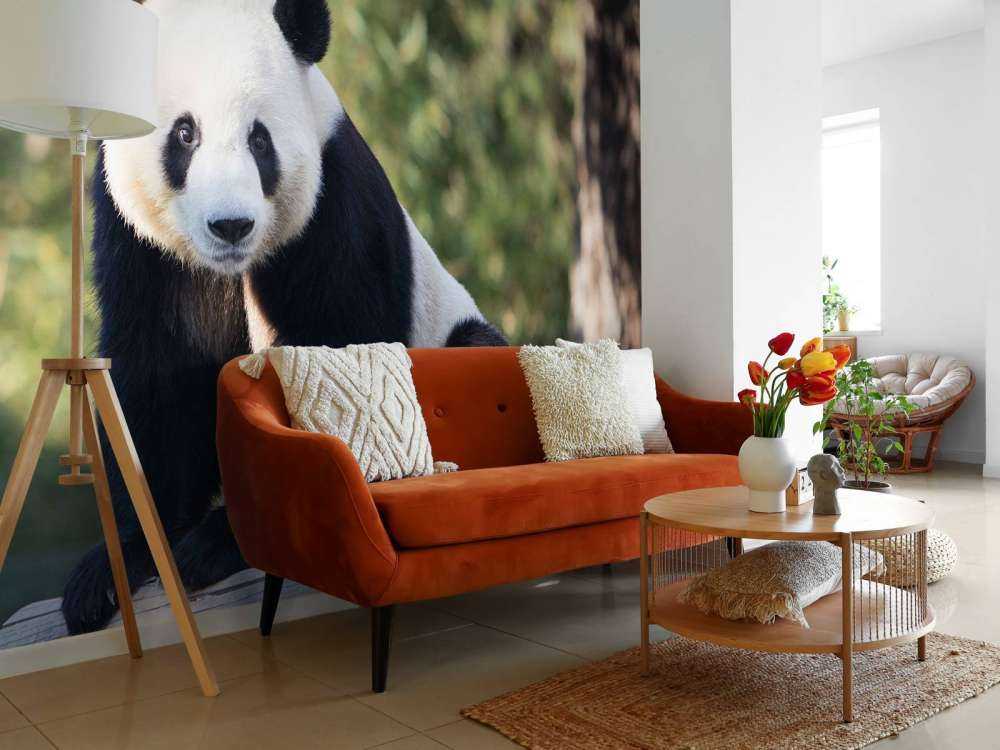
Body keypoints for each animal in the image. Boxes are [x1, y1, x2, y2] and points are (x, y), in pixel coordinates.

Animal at [61, 0, 506, 634]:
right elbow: (159, 375)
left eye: (259, 140)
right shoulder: (141, 244)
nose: (230, 224)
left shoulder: (332, 215)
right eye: (185, 134)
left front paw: (218, 541)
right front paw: (110, 567)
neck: (227, 265)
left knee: (474, 349)